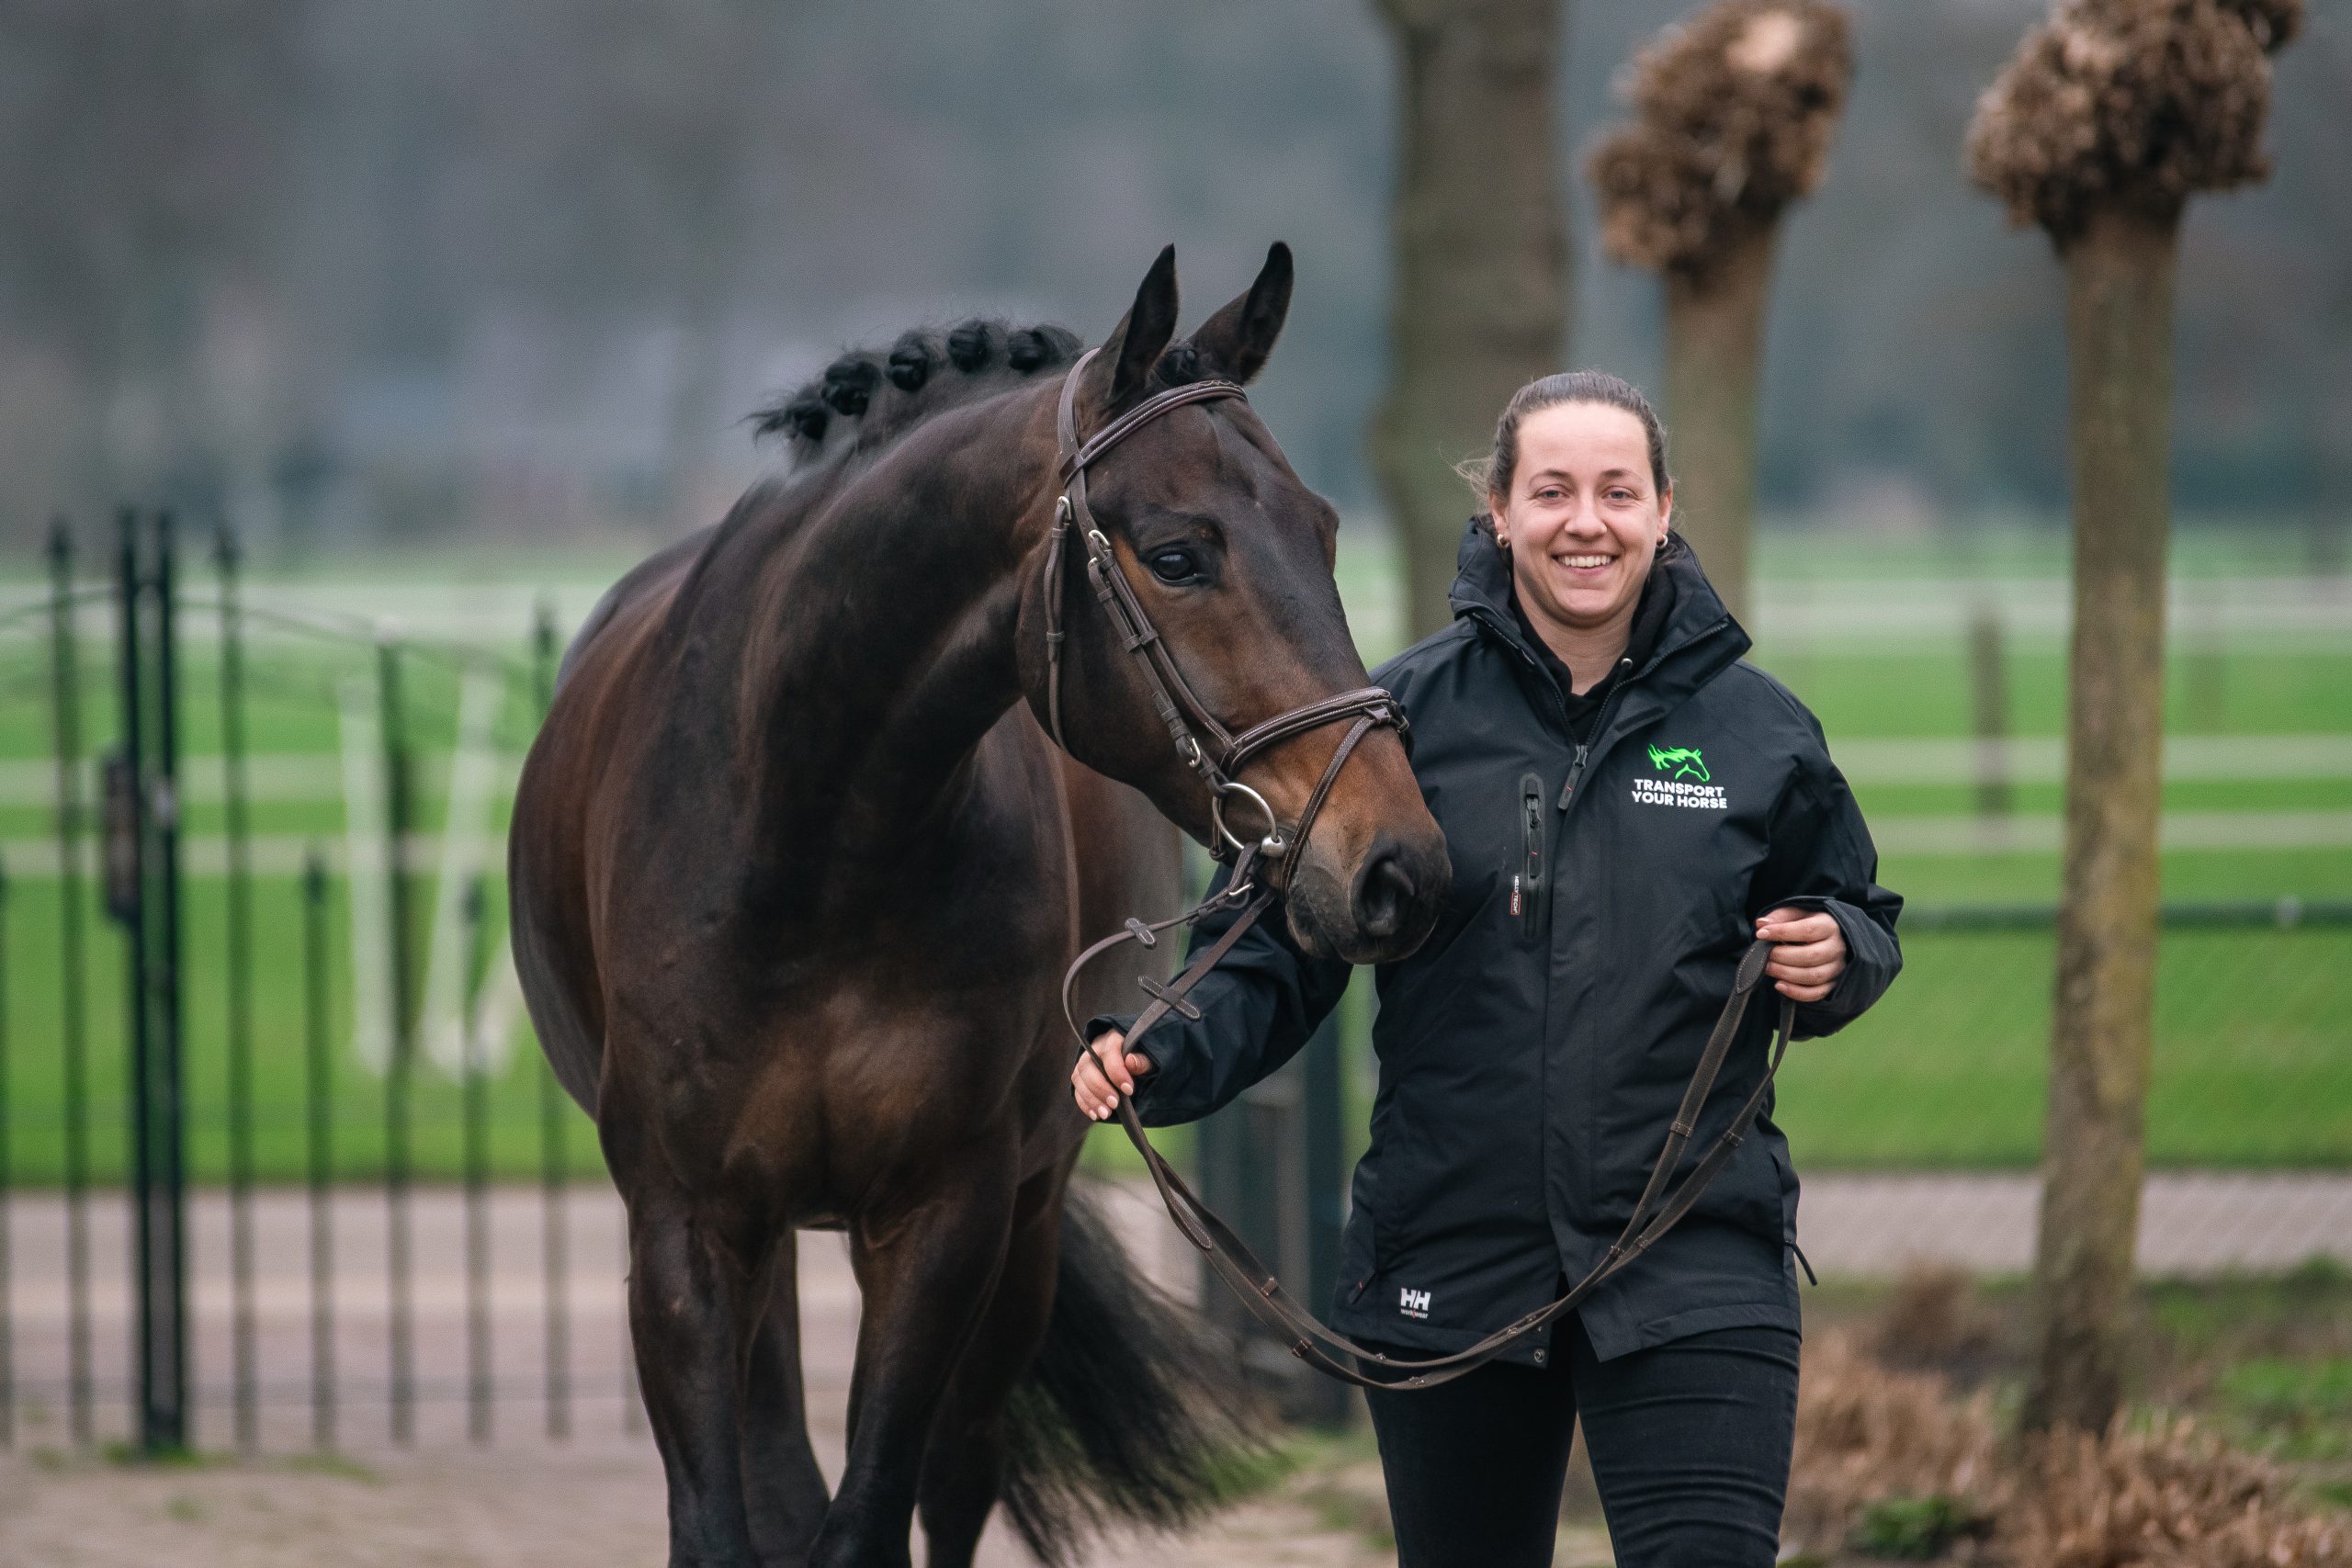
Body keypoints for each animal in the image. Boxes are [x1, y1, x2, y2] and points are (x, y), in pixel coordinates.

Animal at [505, 247, 1439, 1568]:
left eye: (1324, 528)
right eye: (1179, 553)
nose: (1395, 861)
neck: (807, 847)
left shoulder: (948, 1218)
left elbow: (873, 1515)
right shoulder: (685, 1224)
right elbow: (732, 1520)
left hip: (1023, 1231)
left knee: (954, 1477)